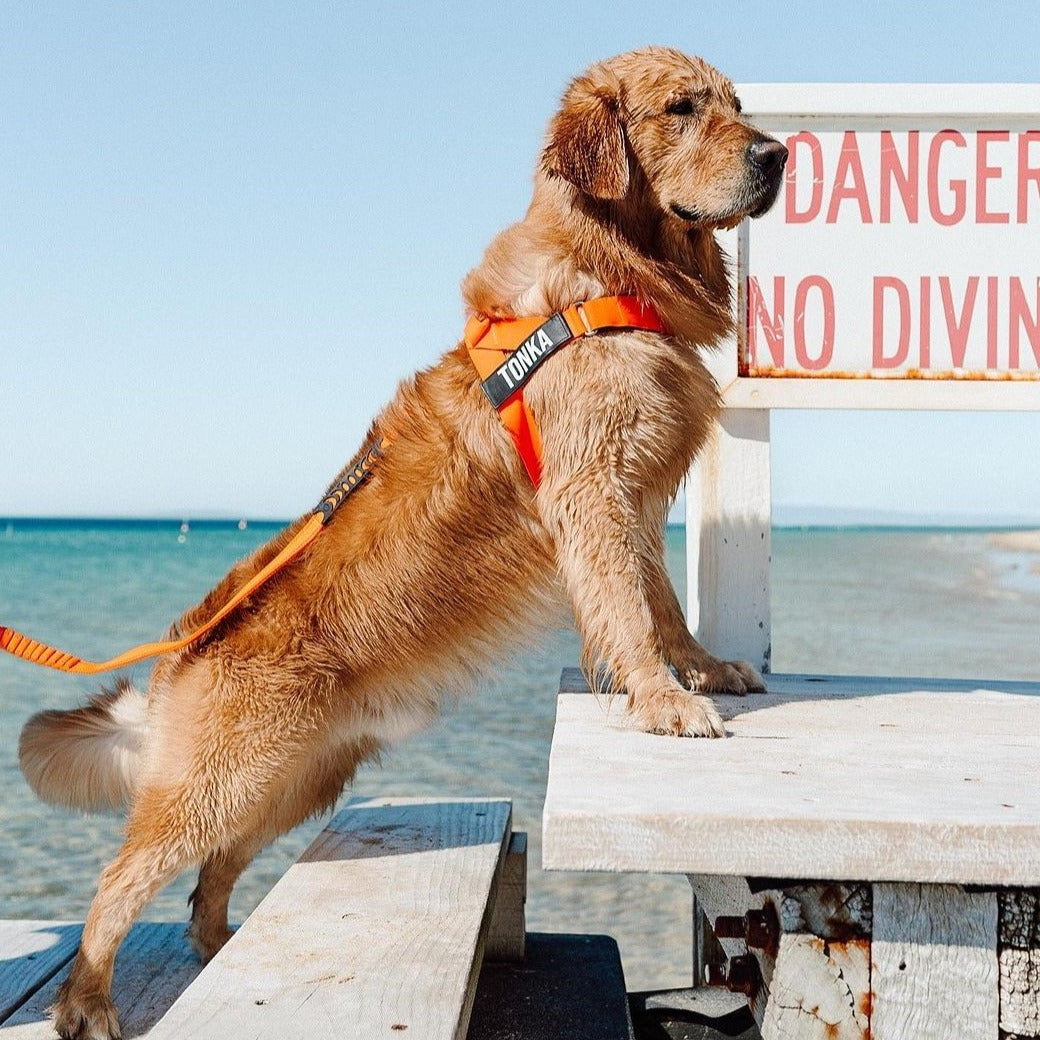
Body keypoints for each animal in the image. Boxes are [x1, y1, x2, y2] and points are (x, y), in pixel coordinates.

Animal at [18, 44, 782, 1035]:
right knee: (115, 888)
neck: (609, 275)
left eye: (736, 104)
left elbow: (660, 604)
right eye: (682, 108)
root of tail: (181, 651)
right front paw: (664, 701)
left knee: (207, 882)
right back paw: (88, 1002)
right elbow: (628, 610)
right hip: (214, 786)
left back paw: (222, 951)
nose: (776, 155)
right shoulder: (595, 492)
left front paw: (703, 669)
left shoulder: (636, 495)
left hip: (289, 785)